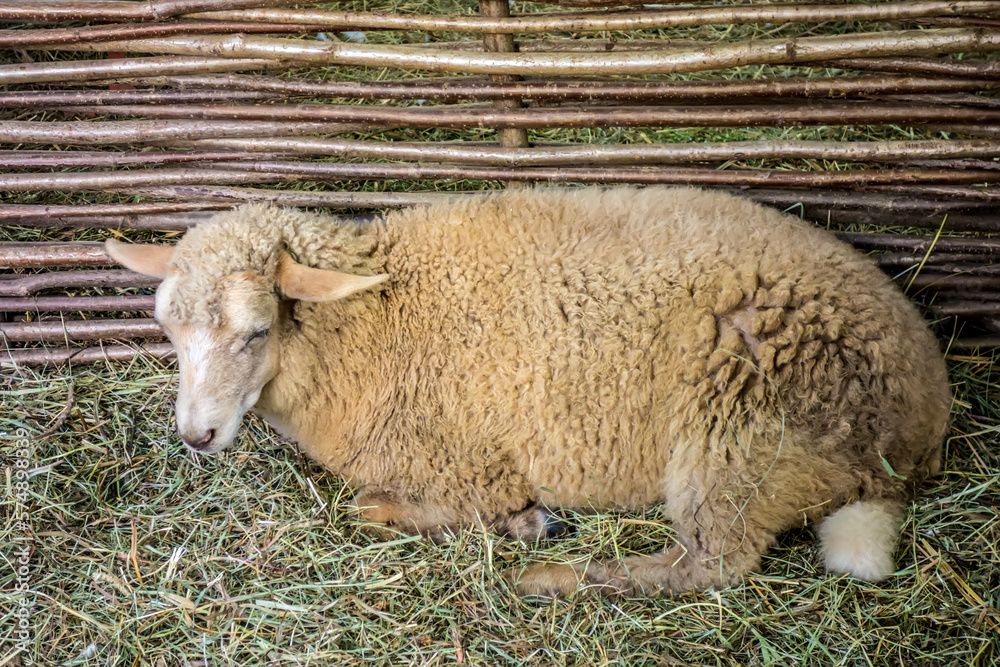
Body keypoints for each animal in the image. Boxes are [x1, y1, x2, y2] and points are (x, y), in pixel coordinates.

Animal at [106, 185, 951, 598]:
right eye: (167, 330)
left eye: (257, 331)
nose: (196, 436)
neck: (369, 326)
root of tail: (923, 422)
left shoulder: (463, 464)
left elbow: (371, 507)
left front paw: (525, 519)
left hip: (738, 434)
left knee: (714, 563)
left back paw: (554, 576)